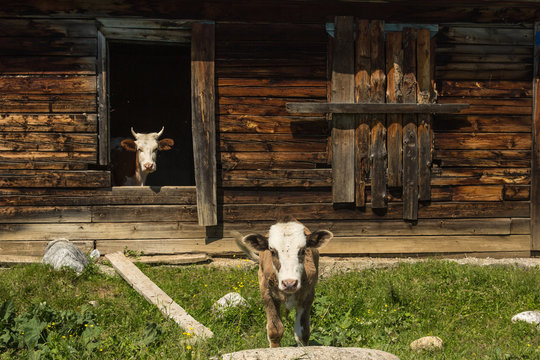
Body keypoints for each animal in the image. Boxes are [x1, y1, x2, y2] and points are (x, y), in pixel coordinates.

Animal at [236, 218, 334, 348]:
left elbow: (302, 333)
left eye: (303, 250)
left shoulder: (308, 295)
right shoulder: (266, 292)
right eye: (272, 251)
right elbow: (275, 330)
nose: (289, 283)